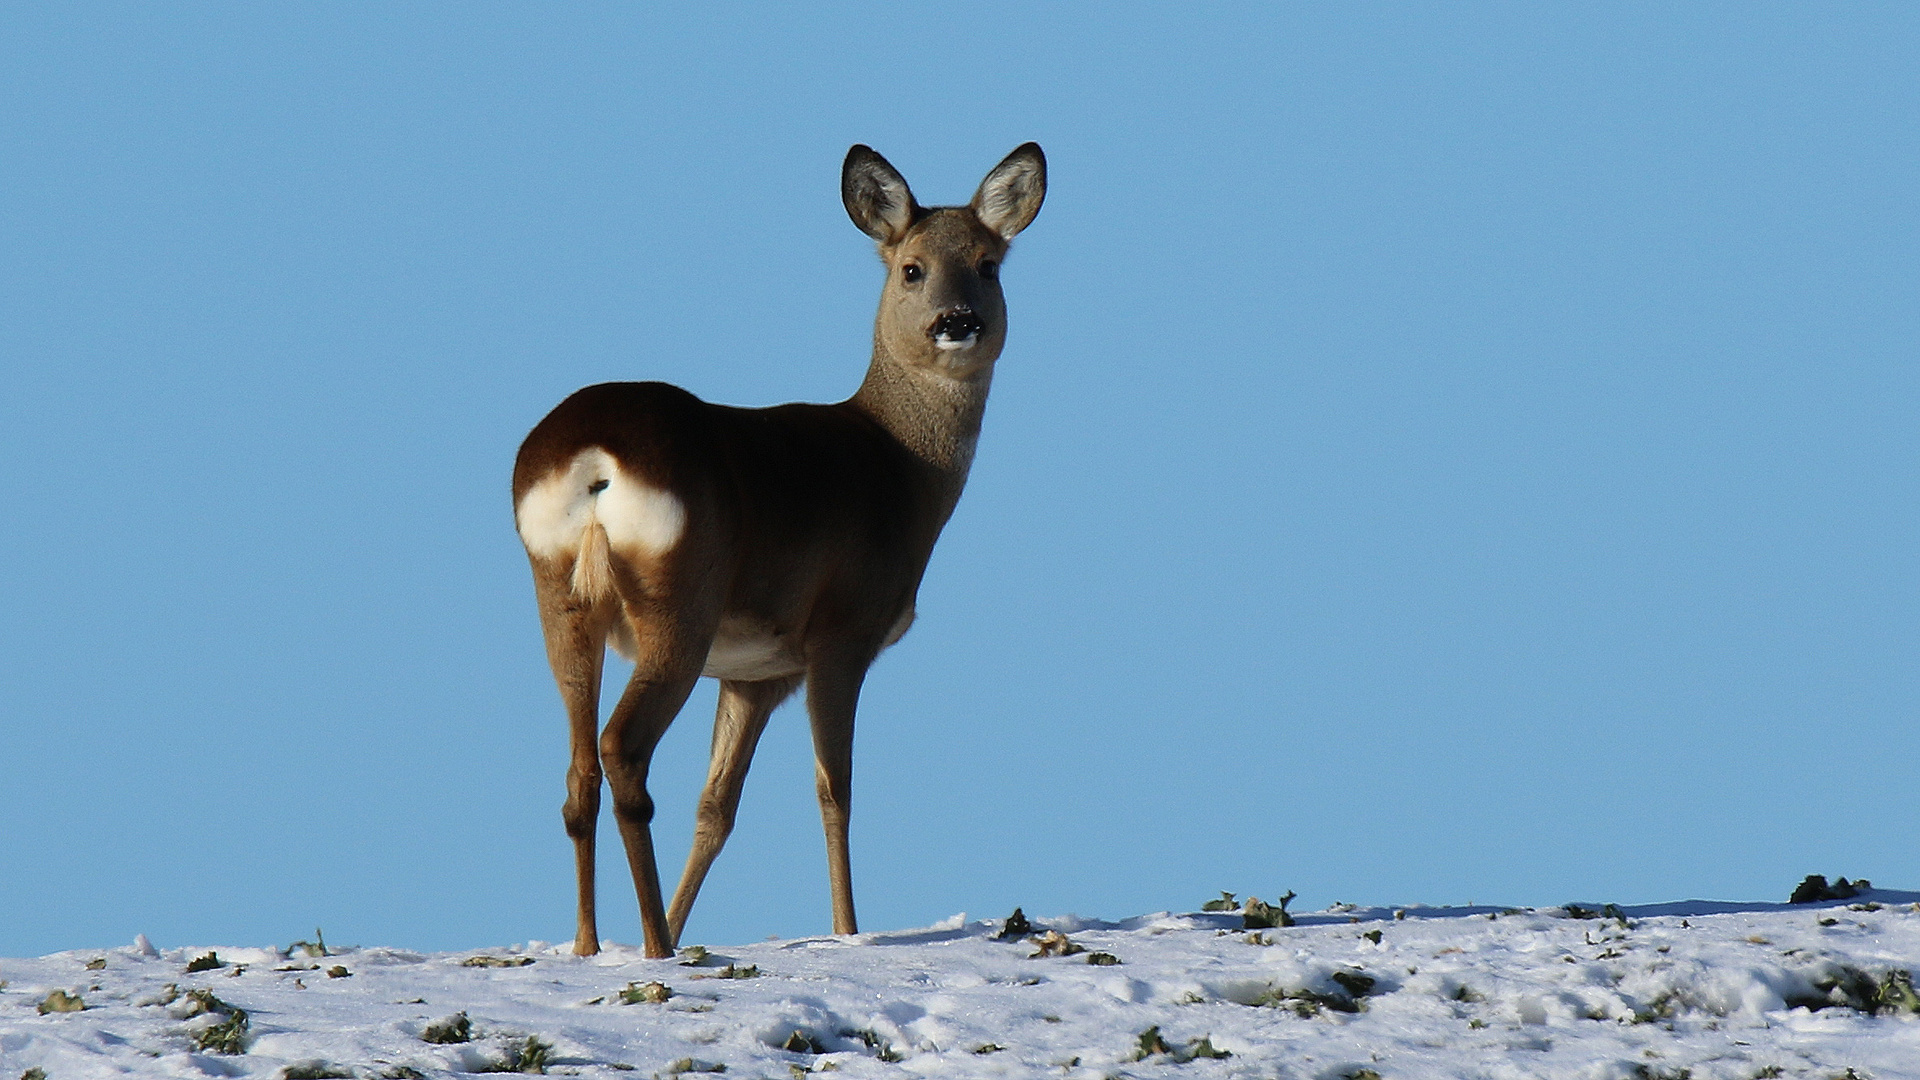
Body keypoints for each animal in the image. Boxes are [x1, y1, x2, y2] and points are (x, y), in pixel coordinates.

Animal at [518, 141, 1044, 949]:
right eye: (911, 268)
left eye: (989, 265)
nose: (957, 322)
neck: (903, 467)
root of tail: (595, 458)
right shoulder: (840, 634)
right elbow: (835, 788)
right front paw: (848, 930)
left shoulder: (757, 672)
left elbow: (717, 808)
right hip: (681, 602)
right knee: (622, 750)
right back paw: (654, 945)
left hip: (561, 599)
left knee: (580, 772)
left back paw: (592, 946)